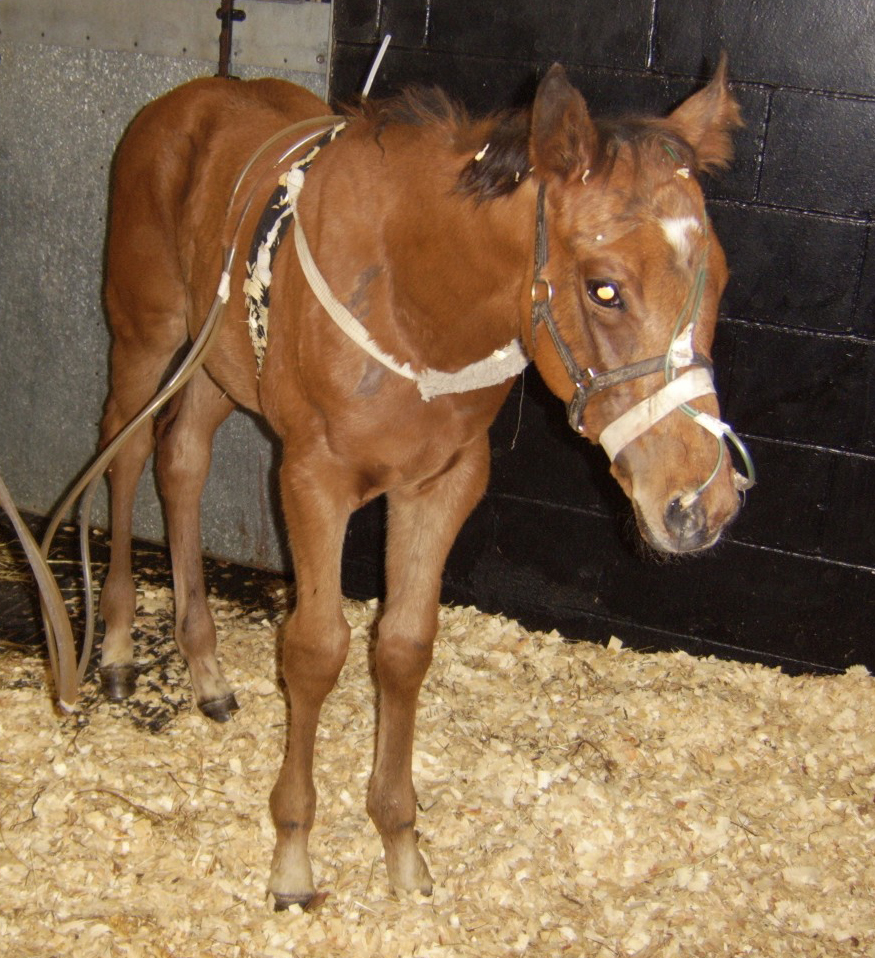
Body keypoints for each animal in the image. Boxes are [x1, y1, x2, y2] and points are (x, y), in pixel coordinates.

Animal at [98, 58, 744, 907]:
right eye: (604, 287)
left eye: (720, 279)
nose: (702, 504)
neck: (414, 298)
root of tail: (189, 96)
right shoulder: (312, 478)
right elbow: (315, 650)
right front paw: (293, 856)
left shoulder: (444, 483)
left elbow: (402, 647)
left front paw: (400, 845)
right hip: (147, 335)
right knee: (125, 450)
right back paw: (112, 649)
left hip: (219, 361)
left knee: (182, 463)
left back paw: (205, 670)